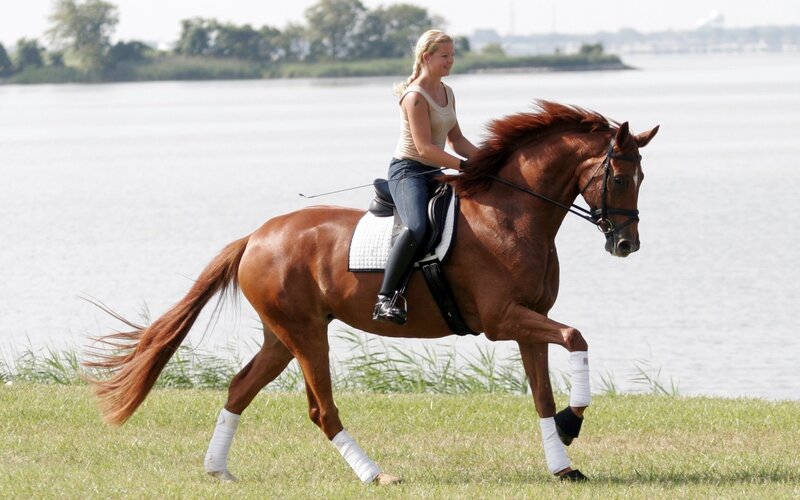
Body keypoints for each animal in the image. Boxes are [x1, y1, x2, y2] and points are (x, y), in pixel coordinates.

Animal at [85, 101, 658, 484]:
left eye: (641, 179)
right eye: (620, 177)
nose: (626, 244)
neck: (514, 215)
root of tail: (256, 236)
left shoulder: (529, 322)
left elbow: (542, 392)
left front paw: (563, 457)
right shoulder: (504, 321)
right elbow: (577, 336)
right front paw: (571, 424)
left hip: (282, 335)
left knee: (239, 387)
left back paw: (217, 470)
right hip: (305, 334)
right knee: (321, 410)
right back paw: (375, 474)